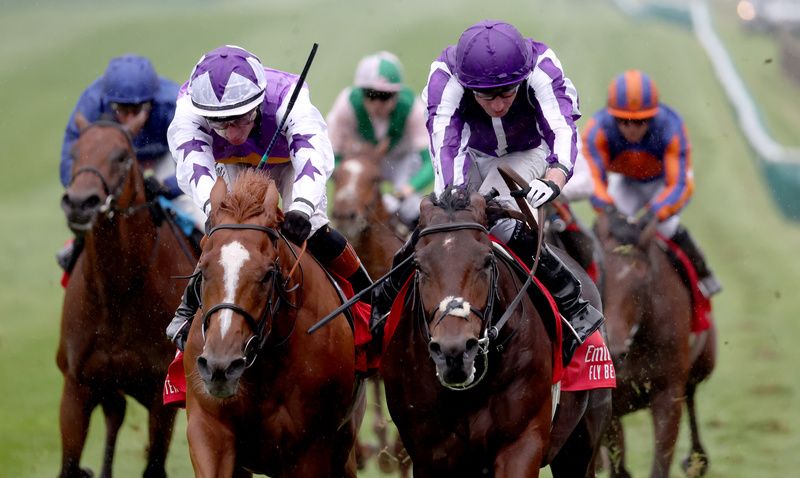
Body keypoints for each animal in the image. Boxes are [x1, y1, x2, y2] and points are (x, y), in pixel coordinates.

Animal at [58, 117, 198, 476]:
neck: (116, 292)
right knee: (115, 414)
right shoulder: (77, 388)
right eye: (75, 153)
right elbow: (69, 465)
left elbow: (154, 465)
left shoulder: (161, 394)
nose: (80, 203)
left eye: (122, 156)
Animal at [380, 190, 608, 478]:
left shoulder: (521, 443)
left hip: (581, 442)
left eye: (487, 261)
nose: (454, 352)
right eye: (418, 266)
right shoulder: (428, 455)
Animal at [592, 212, 720, 478]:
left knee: (691, 394)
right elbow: (618, 465)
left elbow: (660, 464)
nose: (615, 351)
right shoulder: (610, 405)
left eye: (642, 282)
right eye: (600, 275)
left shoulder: (668, 394)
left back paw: (697, 459)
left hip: (704, 362)